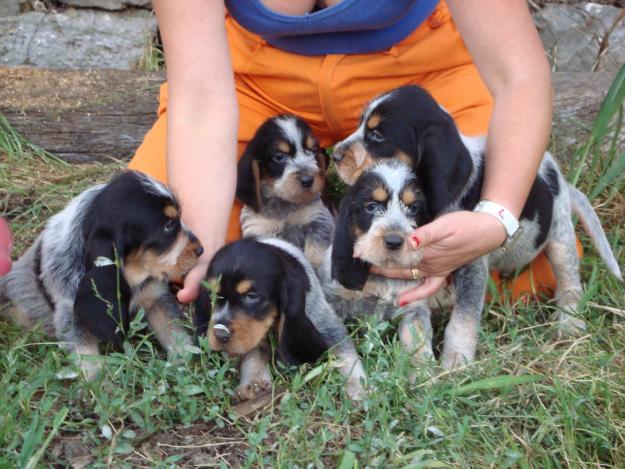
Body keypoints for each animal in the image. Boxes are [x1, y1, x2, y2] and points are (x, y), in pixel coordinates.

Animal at [0, 170, 205, 378]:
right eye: (168, 226)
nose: (201, 250)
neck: (132, 274)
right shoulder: (71, 314)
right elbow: (86, 354)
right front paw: (97, 381)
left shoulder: (157, 297)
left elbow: (174, 331)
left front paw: (184, 361)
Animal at [193, 239, 364, 400]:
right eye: (210, 295)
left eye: (252, 296)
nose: (220, 335)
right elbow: (253, 355)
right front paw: (254, 382)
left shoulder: (328, 325)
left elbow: (345, 354)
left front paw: (356, 387)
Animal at [235, 113, 334, 268]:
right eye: (279, 157)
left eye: (312, 151)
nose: (308, 180)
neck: (284, 204)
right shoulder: (258, 229)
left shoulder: (319, 220)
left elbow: (315, 255)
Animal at [330, 84, 620, 370]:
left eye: (377, 135)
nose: (334, 155)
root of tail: (558, 175)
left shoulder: (470, 259)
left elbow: (464, 317)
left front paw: (456, 359)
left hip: (560, 236)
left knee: (568, 279)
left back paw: (570, 322)